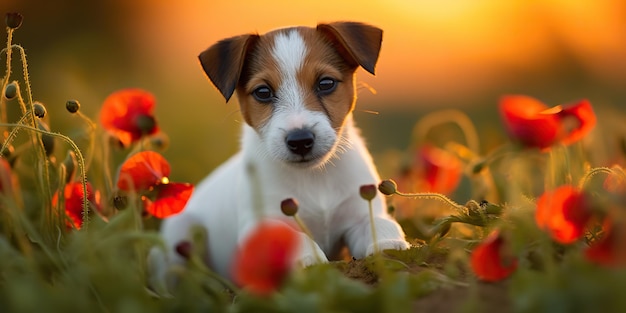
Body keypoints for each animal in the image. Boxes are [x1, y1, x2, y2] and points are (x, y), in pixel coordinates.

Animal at [149, 21, 408, 286]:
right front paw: (311, 259)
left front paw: (389, 246)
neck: (314, 178)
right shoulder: (260, 223)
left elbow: (380, 224)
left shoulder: (360, 210)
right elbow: (293, 235)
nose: (300, 140)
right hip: (180, 235)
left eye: (326, 83)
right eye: (263, 92)